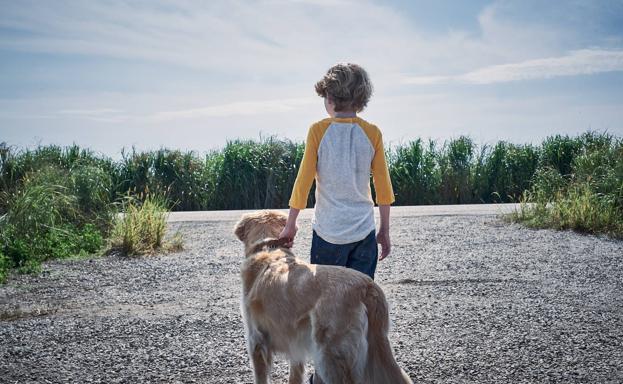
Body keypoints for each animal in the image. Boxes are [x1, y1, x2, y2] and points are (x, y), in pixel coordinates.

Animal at [235, 210, 414, 384]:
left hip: (330, 354)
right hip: (374, 349)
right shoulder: (295, 343)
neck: (269, 249)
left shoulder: (256, 340)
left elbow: (261, 377)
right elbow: (295, 375)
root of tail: (367, 286)